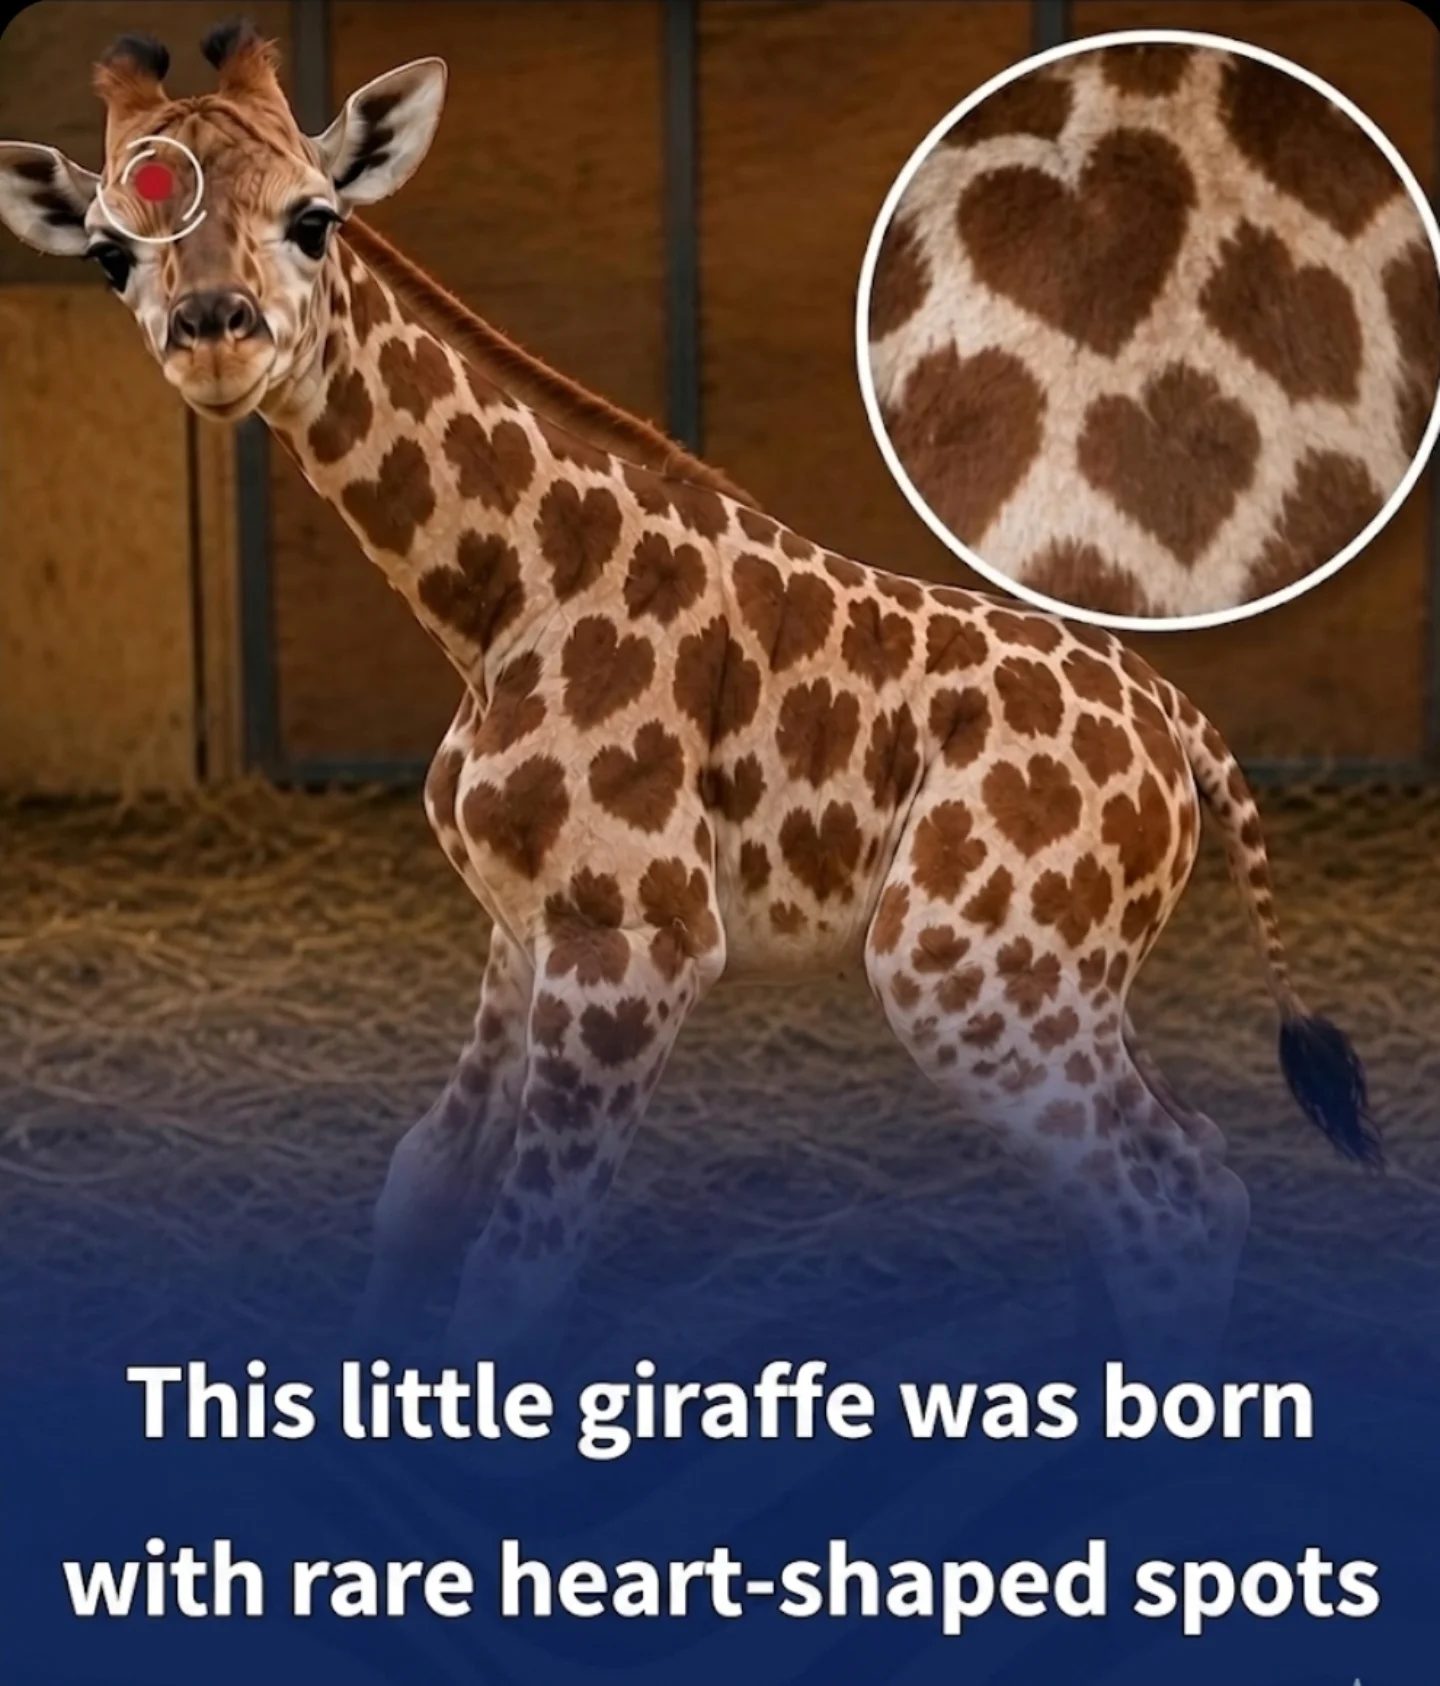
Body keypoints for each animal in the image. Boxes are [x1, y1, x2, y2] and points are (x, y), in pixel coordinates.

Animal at [0, 25, 1380, 1366]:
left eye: (314, 216)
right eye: (113, 253)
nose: (215, 335)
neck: (501, 603)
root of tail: (1178, 724)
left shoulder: (639, 942)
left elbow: (519, 1265)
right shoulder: (522, 930)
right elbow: (424, 1184)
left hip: (967, 966)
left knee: (1165, 1195)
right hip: (1074, 978)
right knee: (1196, 1166)